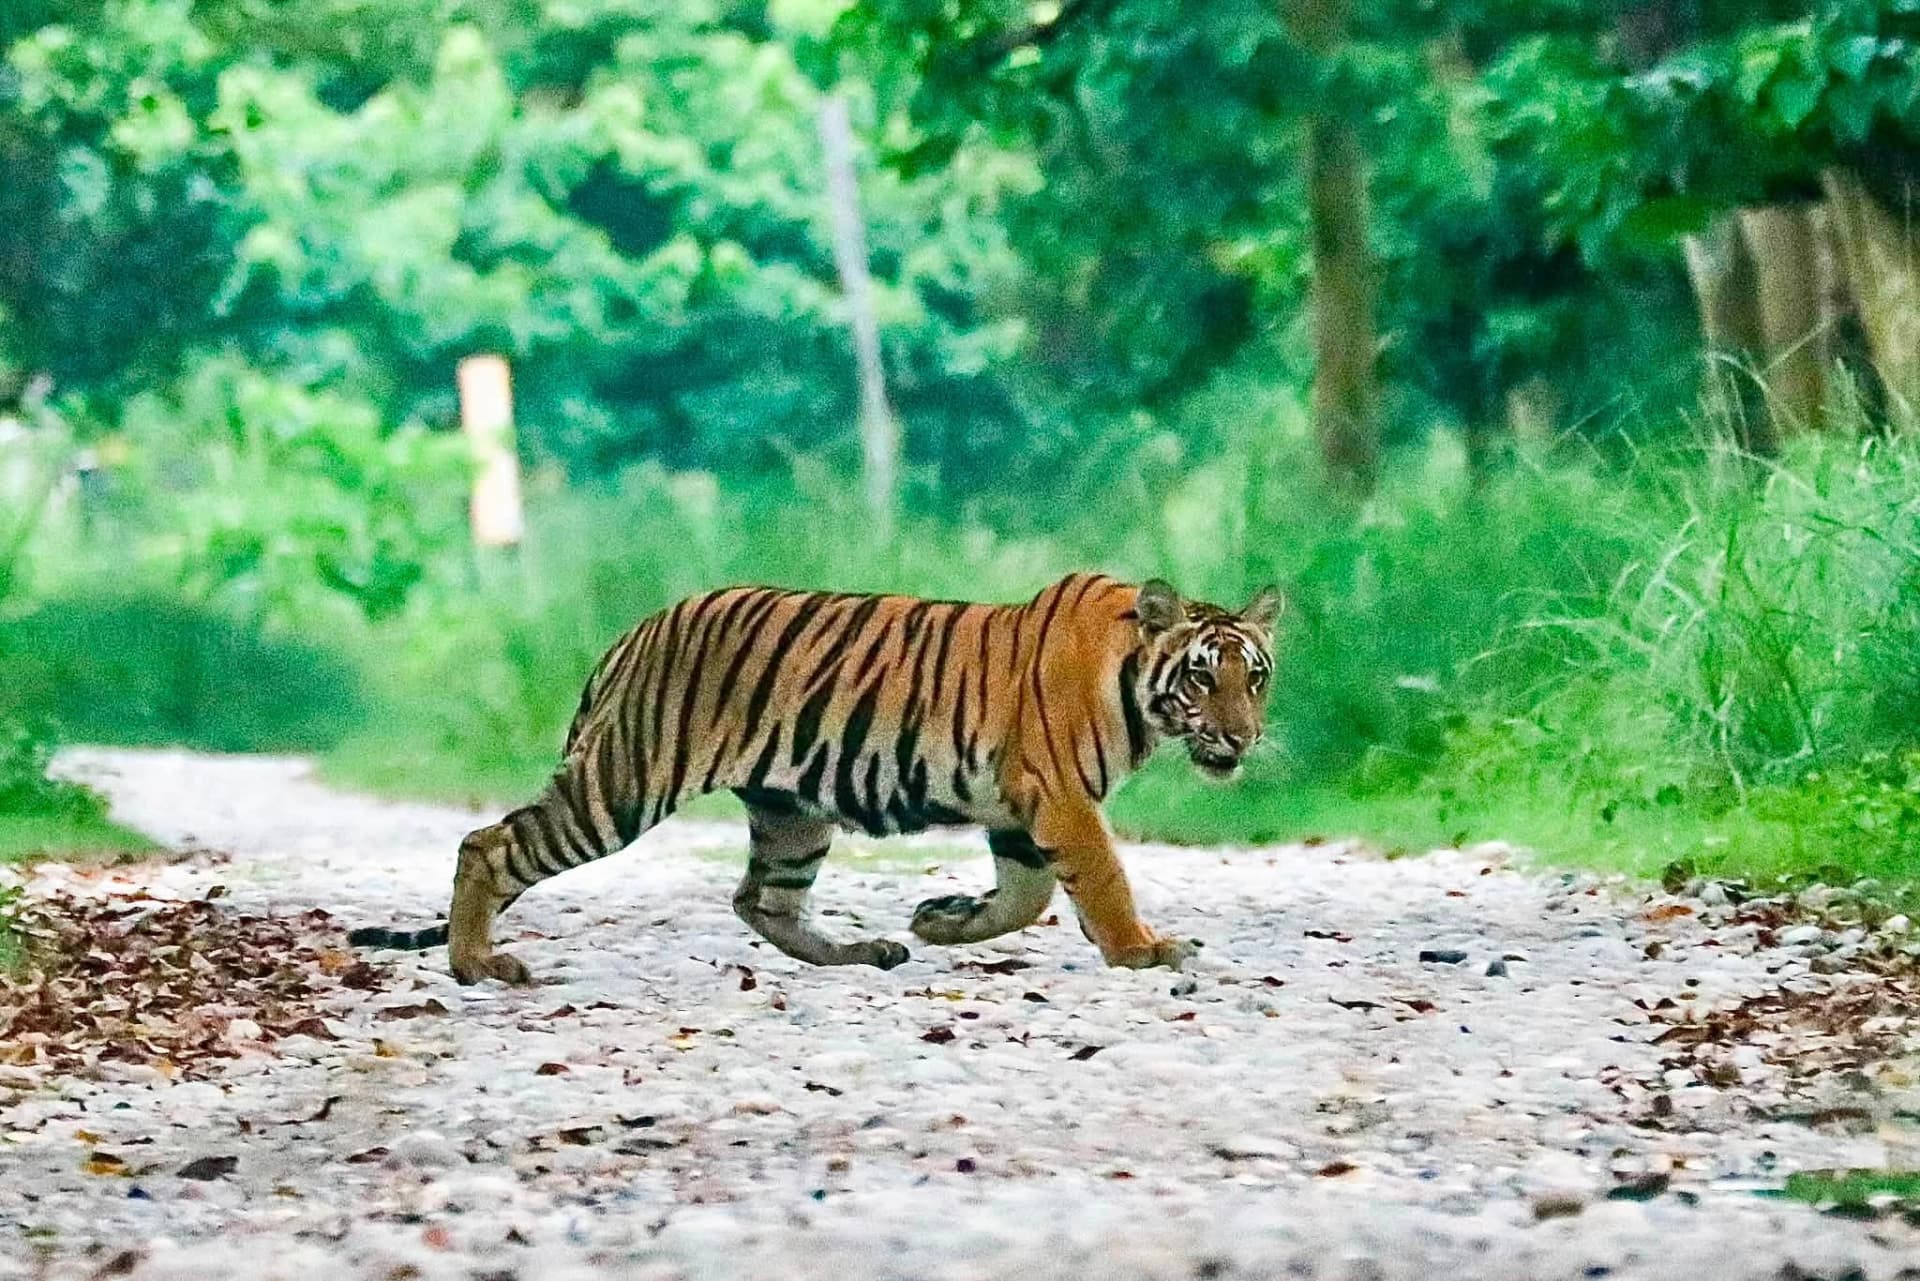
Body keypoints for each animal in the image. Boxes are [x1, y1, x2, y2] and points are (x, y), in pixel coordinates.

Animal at [348, 572, 1281, 983]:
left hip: (793, 808)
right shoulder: (1057, 796)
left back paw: (863, 951)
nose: (1242, 736)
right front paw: (1143, 948)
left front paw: (942, 920)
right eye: (1203, 678)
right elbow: (1099, 878)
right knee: (489, 842)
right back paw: (476, 961)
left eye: (1256, 677)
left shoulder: (1019, 806)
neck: (1136, 690)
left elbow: (1027, 895)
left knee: (761, 898)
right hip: (622, 783)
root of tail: (636, 630)